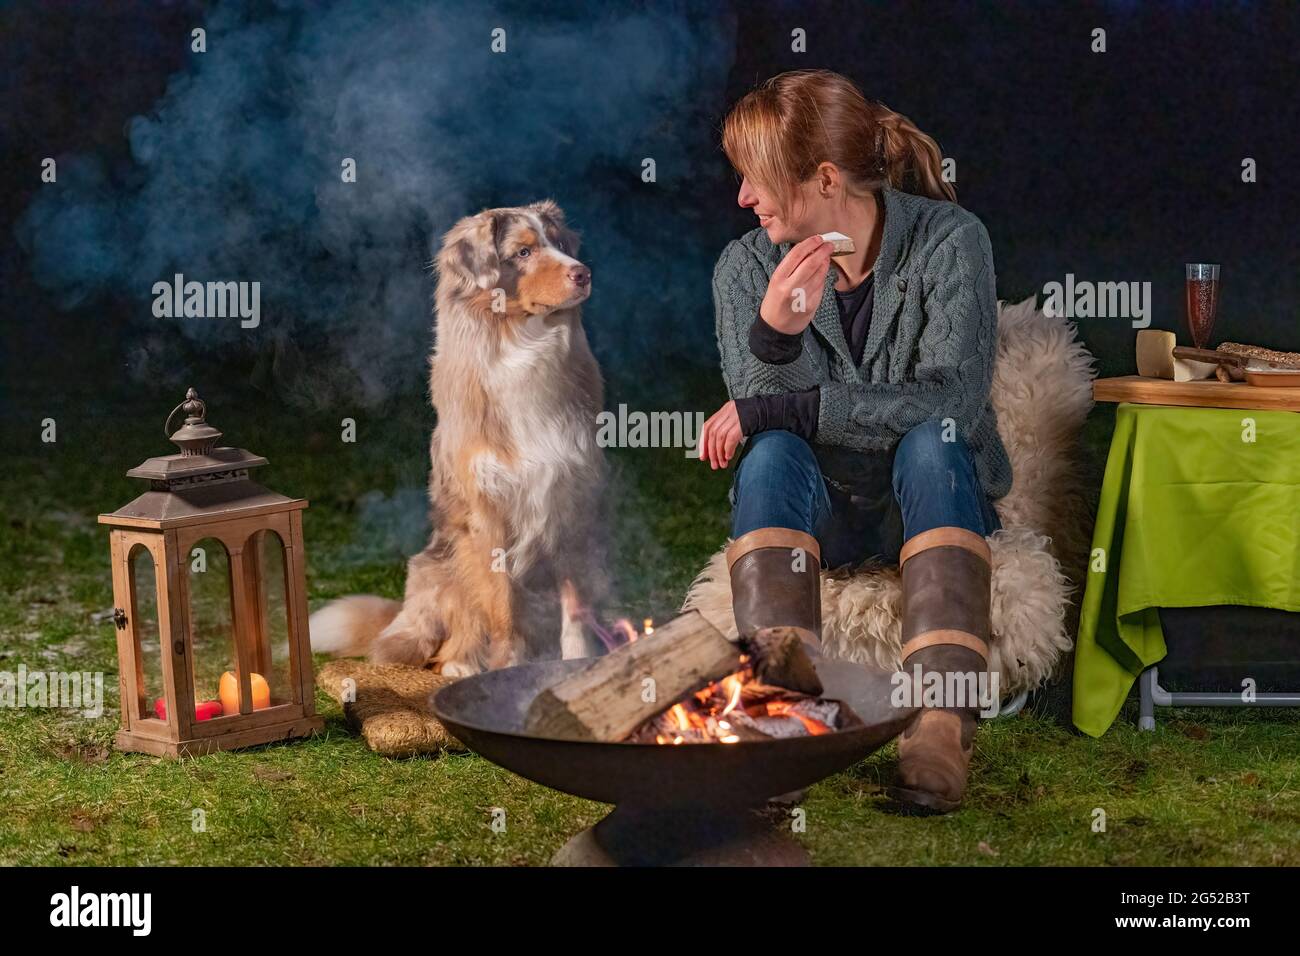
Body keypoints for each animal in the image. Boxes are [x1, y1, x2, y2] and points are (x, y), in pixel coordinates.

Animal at [308, 201, 603, 676]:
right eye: (523, 252)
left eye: (559, 244)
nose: (584, 273)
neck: (522, 345)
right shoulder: (487, 516)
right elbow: (501, 608)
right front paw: (504, 670)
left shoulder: (569, 497)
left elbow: (574, 604)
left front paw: (578, 662)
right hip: (442, 567)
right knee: (443, 641)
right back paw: (461, 663)